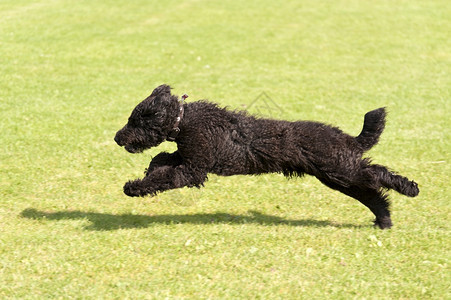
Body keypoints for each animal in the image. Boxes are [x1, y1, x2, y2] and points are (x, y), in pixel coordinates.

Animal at [114, 83, 420, 229]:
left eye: (135, 121)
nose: (117, 138)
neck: (184, 119)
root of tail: (346, 137)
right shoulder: (188, 160)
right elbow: (161, 160)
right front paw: (144, 176)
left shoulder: (194, 169)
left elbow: (164, 176)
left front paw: (134, 187)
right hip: (339, 178)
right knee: (373, 194)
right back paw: (384, 221)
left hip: (342, 169)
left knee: (378, 173)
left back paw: (410, 188)